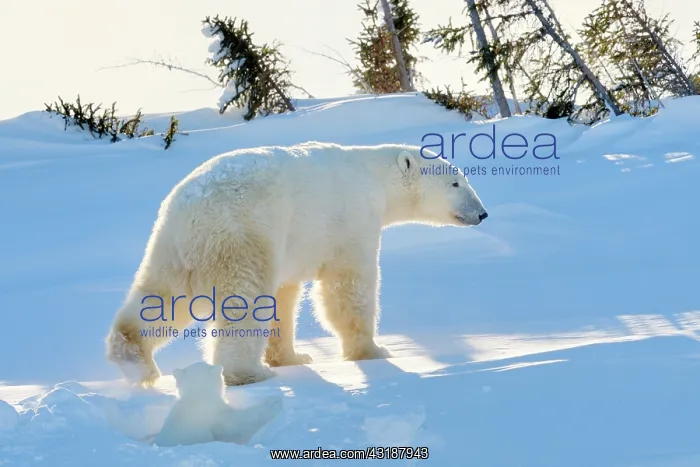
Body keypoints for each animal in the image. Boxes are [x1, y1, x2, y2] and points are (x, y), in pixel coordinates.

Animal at [106, 142, 488, 387]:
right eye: (456, 182)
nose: (482, 213)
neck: (375, 177)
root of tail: (191, 209)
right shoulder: (351, 219)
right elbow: (347, 286)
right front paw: (374, 350)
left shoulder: (294, 246)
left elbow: (285, 296)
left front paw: (293, 357)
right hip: (243, 236)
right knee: (244, 301)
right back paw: (248, 374)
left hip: (173, 249)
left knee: (163, 298)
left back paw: (135, 360)